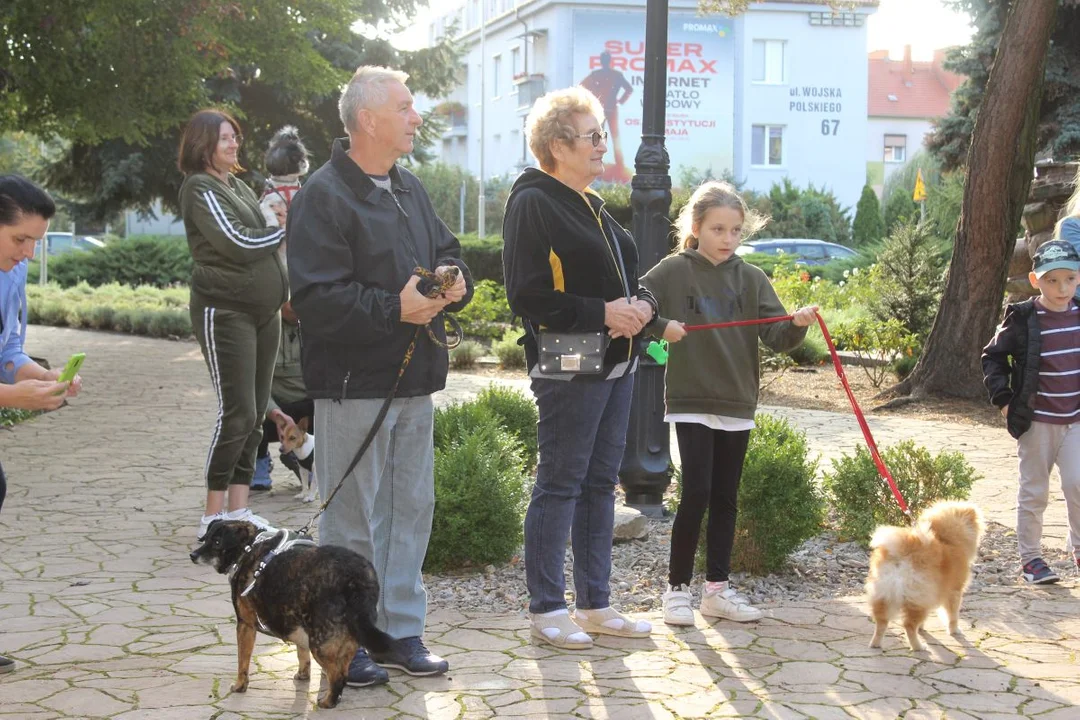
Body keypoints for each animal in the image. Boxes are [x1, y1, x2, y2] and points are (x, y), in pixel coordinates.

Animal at [191, 520, 393, 708]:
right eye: (205, 538)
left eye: (217, 542)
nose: (192, 555)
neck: (248, 548)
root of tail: (355, 577)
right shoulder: (296, 623)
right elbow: (302, 653)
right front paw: (303, 674)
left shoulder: (245, 625)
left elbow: (243, 661)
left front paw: (240, 685)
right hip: (348, 636)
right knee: (342, 669)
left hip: (321, 643)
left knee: (338, 676)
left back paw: (328, 702)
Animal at [864, 500, 984, 651]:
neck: (946, 538)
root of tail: (903, 552)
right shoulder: (954, 591)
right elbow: (953, 615)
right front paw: (955, 630)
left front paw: (922, 629)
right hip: (918, 597)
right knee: (908, 625)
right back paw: (918, 646)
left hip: (885, 594)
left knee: (881, 622)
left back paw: (875, 643)